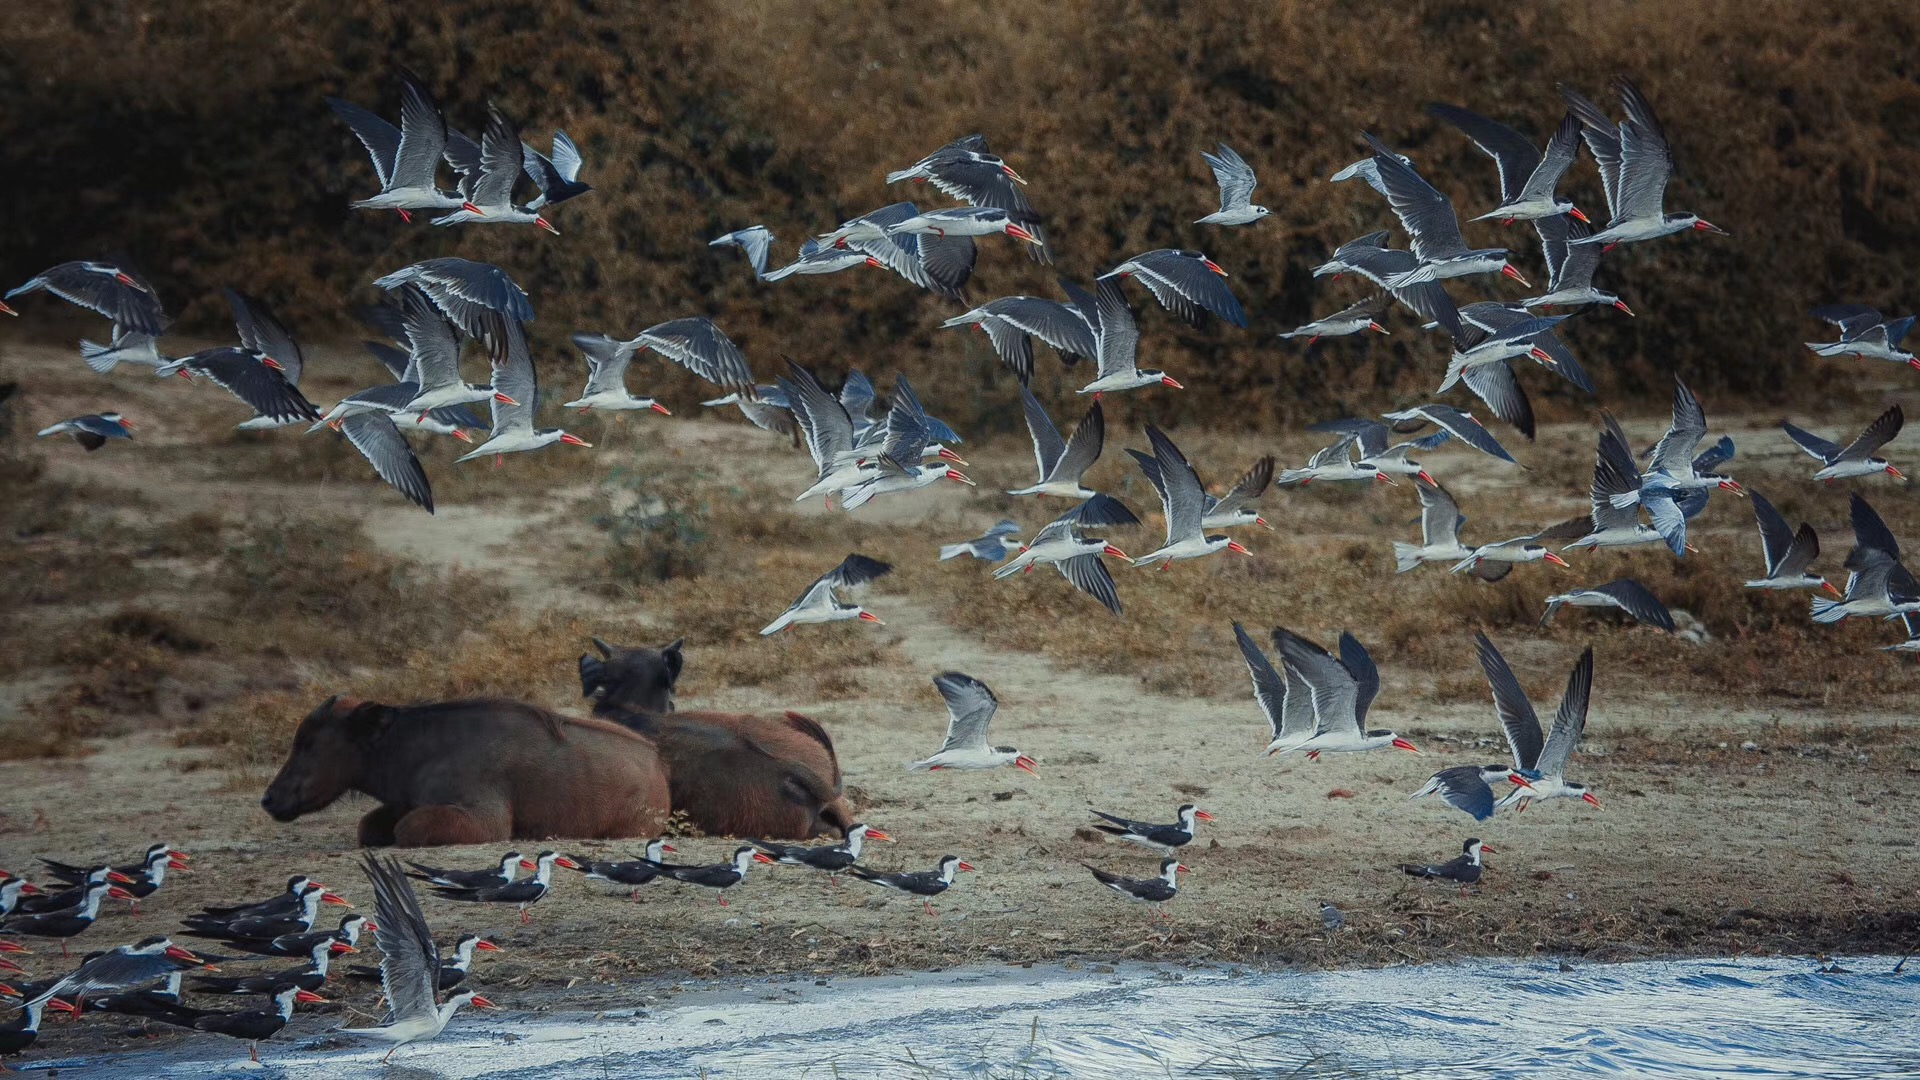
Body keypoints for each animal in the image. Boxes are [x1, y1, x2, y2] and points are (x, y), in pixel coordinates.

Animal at [259, 691, 672, 845]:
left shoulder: (482, 819)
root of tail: (656, 763)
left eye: (308, 744)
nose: (269, 799)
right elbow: (370, 826)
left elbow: (407, 828)